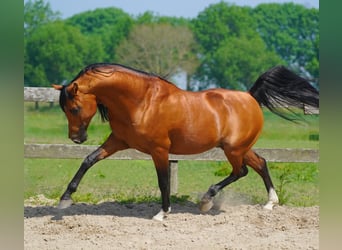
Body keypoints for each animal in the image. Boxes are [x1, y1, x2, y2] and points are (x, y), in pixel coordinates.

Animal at [52, 62, 320, 221]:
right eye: (64, 109)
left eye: (74, 108)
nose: (76, 138)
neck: (141, 101)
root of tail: (250, 96)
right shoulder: (118, 141)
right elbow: (88, 161)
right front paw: (65, 200)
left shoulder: (159, 149)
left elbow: (163, 181)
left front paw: (162, 213)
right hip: (240, 148)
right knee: (261, 163)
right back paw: (270, 204)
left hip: (234, 149)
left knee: (241, 171)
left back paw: (206, 200)